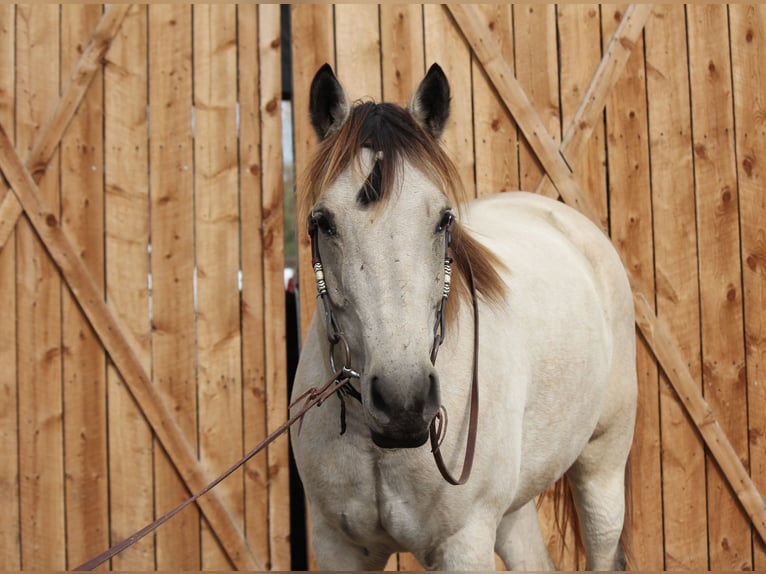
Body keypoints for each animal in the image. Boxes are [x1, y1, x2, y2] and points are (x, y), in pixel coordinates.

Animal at [289, 62, 637, 571]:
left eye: (443, 220)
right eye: (323, 222)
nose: (404, 403)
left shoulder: (463, 543)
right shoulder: (340, 547)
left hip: (602, 467)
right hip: (513, 508)